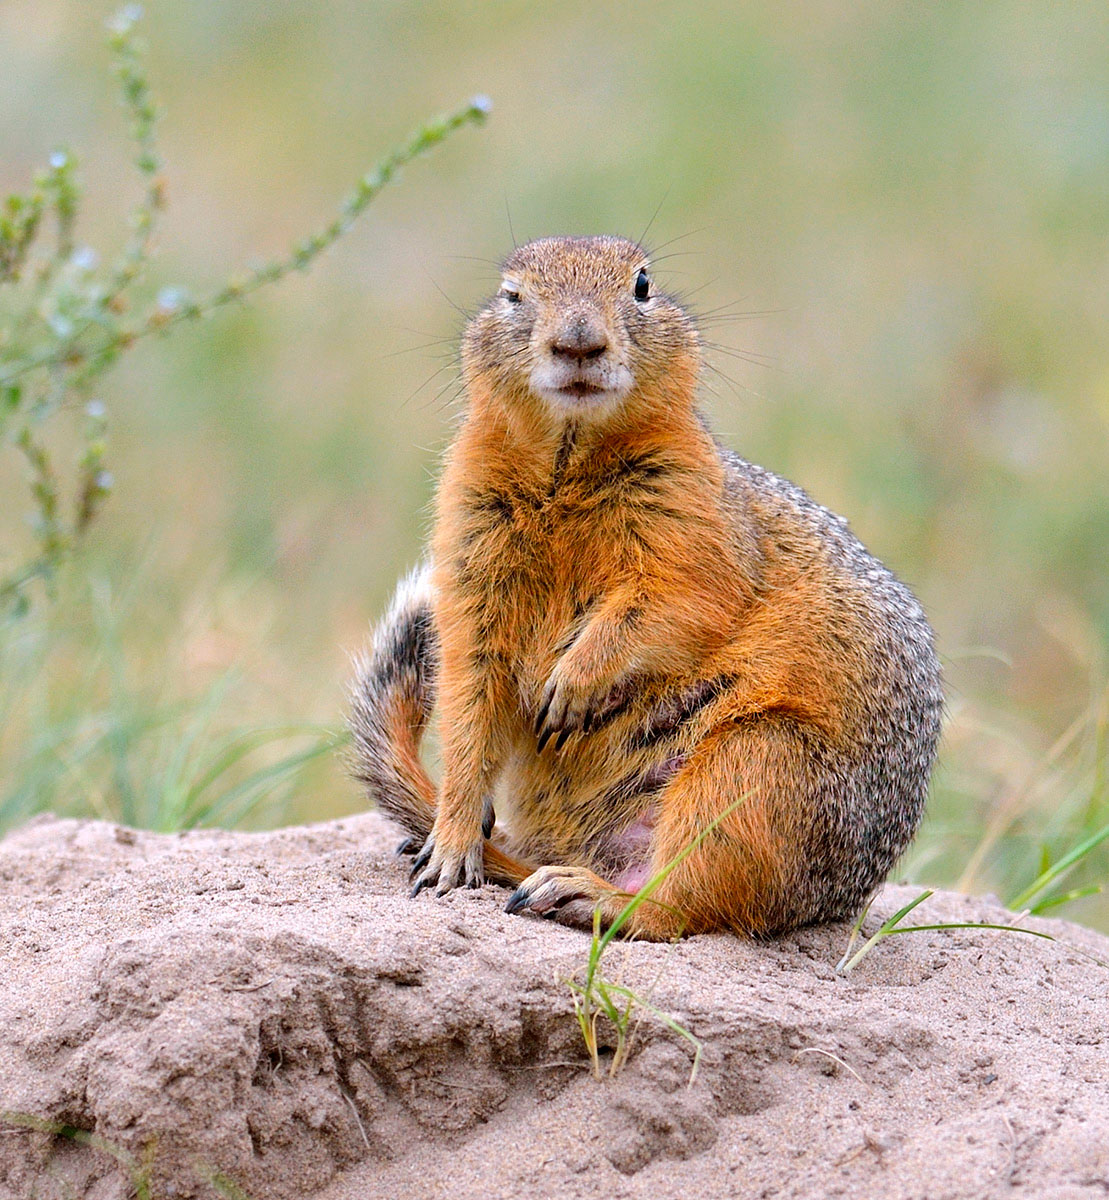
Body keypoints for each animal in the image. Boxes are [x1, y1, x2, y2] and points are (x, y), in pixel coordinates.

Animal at [350, 234, 940, 936]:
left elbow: (671, 603)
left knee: (677, 907)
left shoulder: (692, 522)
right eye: (512, 294)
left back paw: (582, 893)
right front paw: (448, 851)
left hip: (755, 766)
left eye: (642, 285)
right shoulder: (471, 555)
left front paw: (573, 684)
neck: (568, 468)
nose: (578, 342)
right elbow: (469, 703)